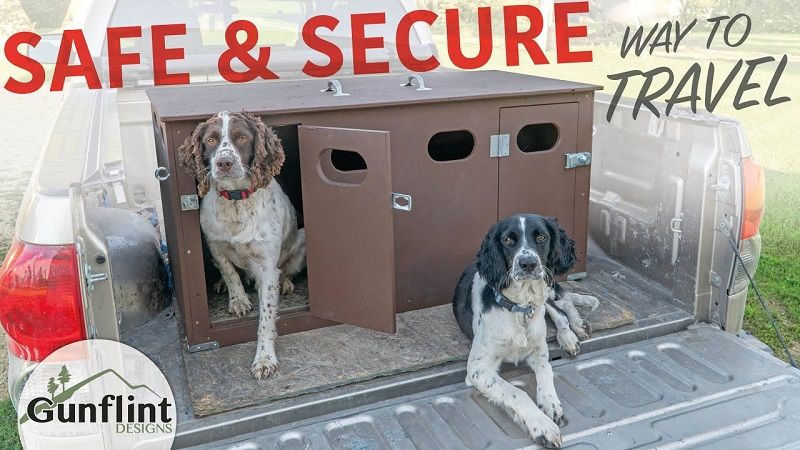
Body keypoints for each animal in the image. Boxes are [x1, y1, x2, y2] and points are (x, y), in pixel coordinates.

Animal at [454, 214, 596, 446]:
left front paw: (550, 402)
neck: (520, 309)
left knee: (561, 307)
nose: (528, 263)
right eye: (508, 240)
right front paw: (542, 425)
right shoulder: (477, 369)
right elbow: (516, 392)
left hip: (546, 290)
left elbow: (546, 369)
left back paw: (572, 331)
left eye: (541, 237)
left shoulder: (538, 349)